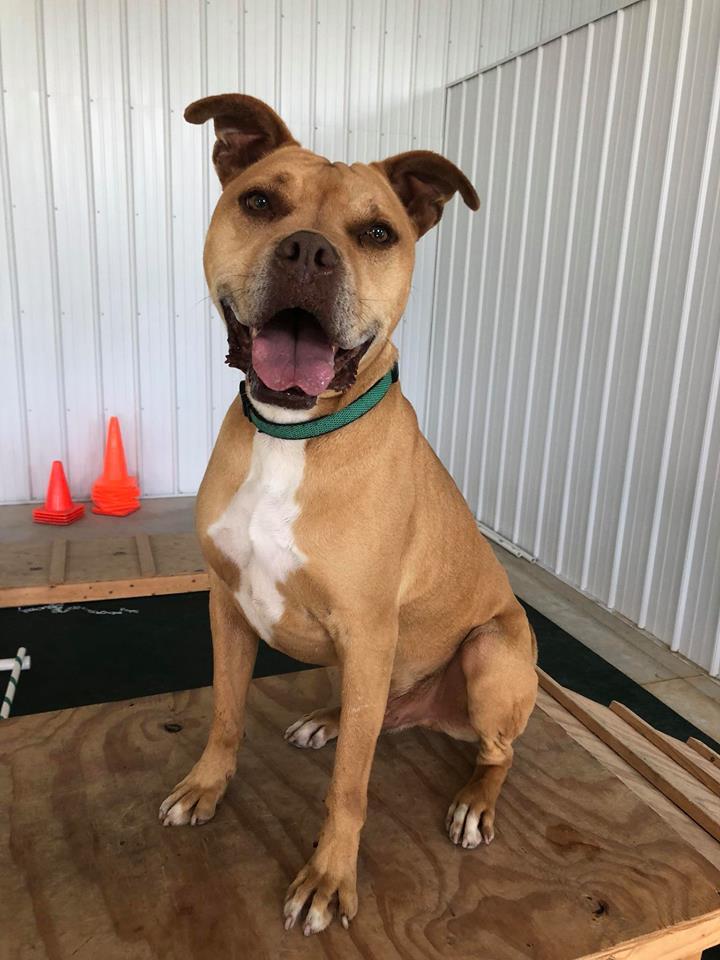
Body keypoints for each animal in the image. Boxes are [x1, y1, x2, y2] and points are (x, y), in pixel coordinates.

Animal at [159, 94, 540, 932]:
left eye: (376, 234)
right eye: (259, 203)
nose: (307, 252)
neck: (292, 434)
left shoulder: (367, 630)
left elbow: (349, 787)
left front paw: (330, 879)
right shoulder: (227, 605)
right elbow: (226, 713)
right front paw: (206, 786)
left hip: (490, 653)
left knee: (495, 752)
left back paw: (474, 801)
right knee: (370, 716)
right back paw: (332, 719)